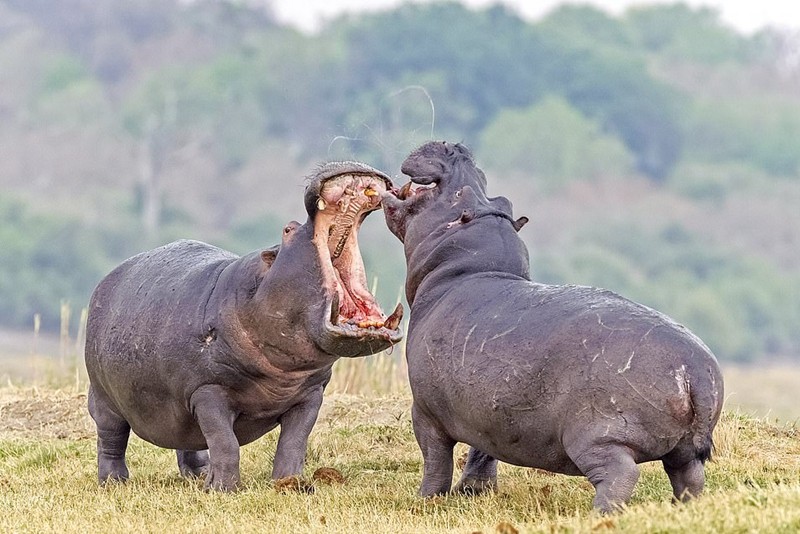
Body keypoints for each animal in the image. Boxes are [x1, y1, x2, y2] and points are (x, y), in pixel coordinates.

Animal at [84, 161, 404, 492]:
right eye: (288, 229)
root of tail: (106, 280)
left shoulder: (311, 394)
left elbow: (294, 441)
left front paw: (290, 484)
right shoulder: (207, 391)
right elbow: (225, 441)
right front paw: (224, 489)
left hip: (177, 408)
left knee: (189, 443)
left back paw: (199, 475)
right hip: (105, 400)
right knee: (111, 440)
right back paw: (114, 482)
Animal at [382, 142, 724, 516]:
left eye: (460, 194)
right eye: (500, 198)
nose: (454, 147)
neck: (467, 266)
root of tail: (696, 370)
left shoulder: (425, 412)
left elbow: (435, 459)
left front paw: (425, 500)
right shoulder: (489, 410)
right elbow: (482, 452)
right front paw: (473, 492)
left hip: (597, 437)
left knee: (620, 474)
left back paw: (599, 514)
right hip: (682, 449)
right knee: (689, 477)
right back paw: (684, 509)